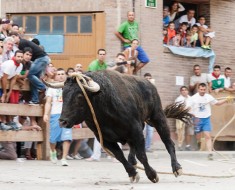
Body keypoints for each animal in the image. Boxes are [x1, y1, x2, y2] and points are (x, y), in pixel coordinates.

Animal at [54, 70, 189, 183]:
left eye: (79, 96)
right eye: (63, 95)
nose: (62, 121)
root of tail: (149, 83)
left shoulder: (136, 131)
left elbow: (142, 155)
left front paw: (152, 175)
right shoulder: (105, 139)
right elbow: (120, 156)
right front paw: (133, 174)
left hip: (158, 117)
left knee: (168, 142)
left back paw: (177, 168)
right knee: (132, 147)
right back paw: (133, 161)